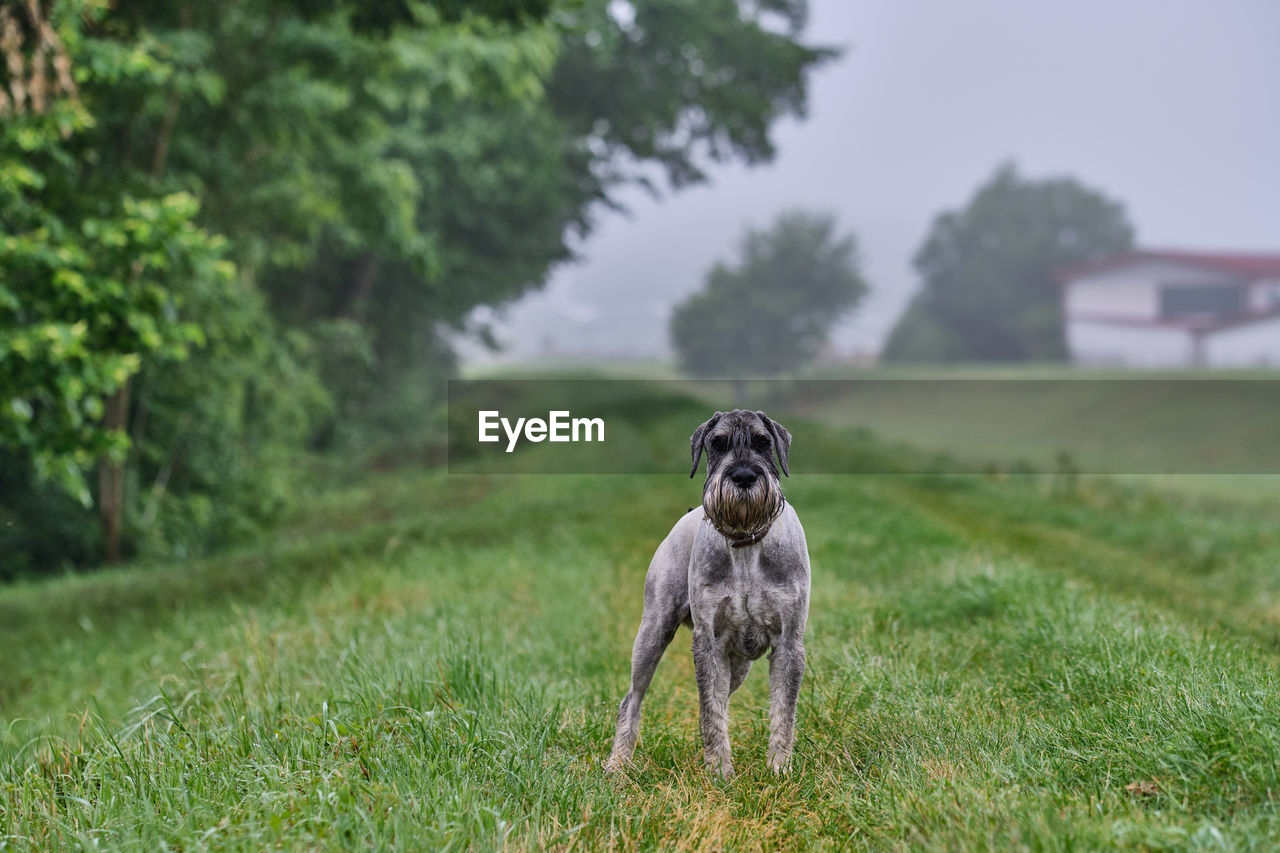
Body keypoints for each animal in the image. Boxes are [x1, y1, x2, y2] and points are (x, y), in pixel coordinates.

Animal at [606, 409, 808, 773]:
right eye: (717, 443)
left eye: (763, 441)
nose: (743, 476)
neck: (745, 541)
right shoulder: (708, 643)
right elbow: (710, 710)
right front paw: (719, 771)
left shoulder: (789, 644)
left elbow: (783, 711)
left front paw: (778, 769)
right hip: (652, 634)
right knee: (632, 698)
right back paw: (617, 764)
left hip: (737, 665)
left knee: (723, 698)